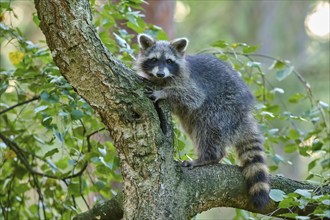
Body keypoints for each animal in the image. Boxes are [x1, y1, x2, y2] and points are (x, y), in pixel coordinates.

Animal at [135, 34, 270, 210]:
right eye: (154, 59)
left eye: (169, 61)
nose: (160, 74)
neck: (163, 79)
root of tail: (244, 113)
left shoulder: (190, 83)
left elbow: (192, 97)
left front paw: (164, 92)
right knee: (192, 127)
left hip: (223, 108)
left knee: (208, 129)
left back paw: (208, 157)